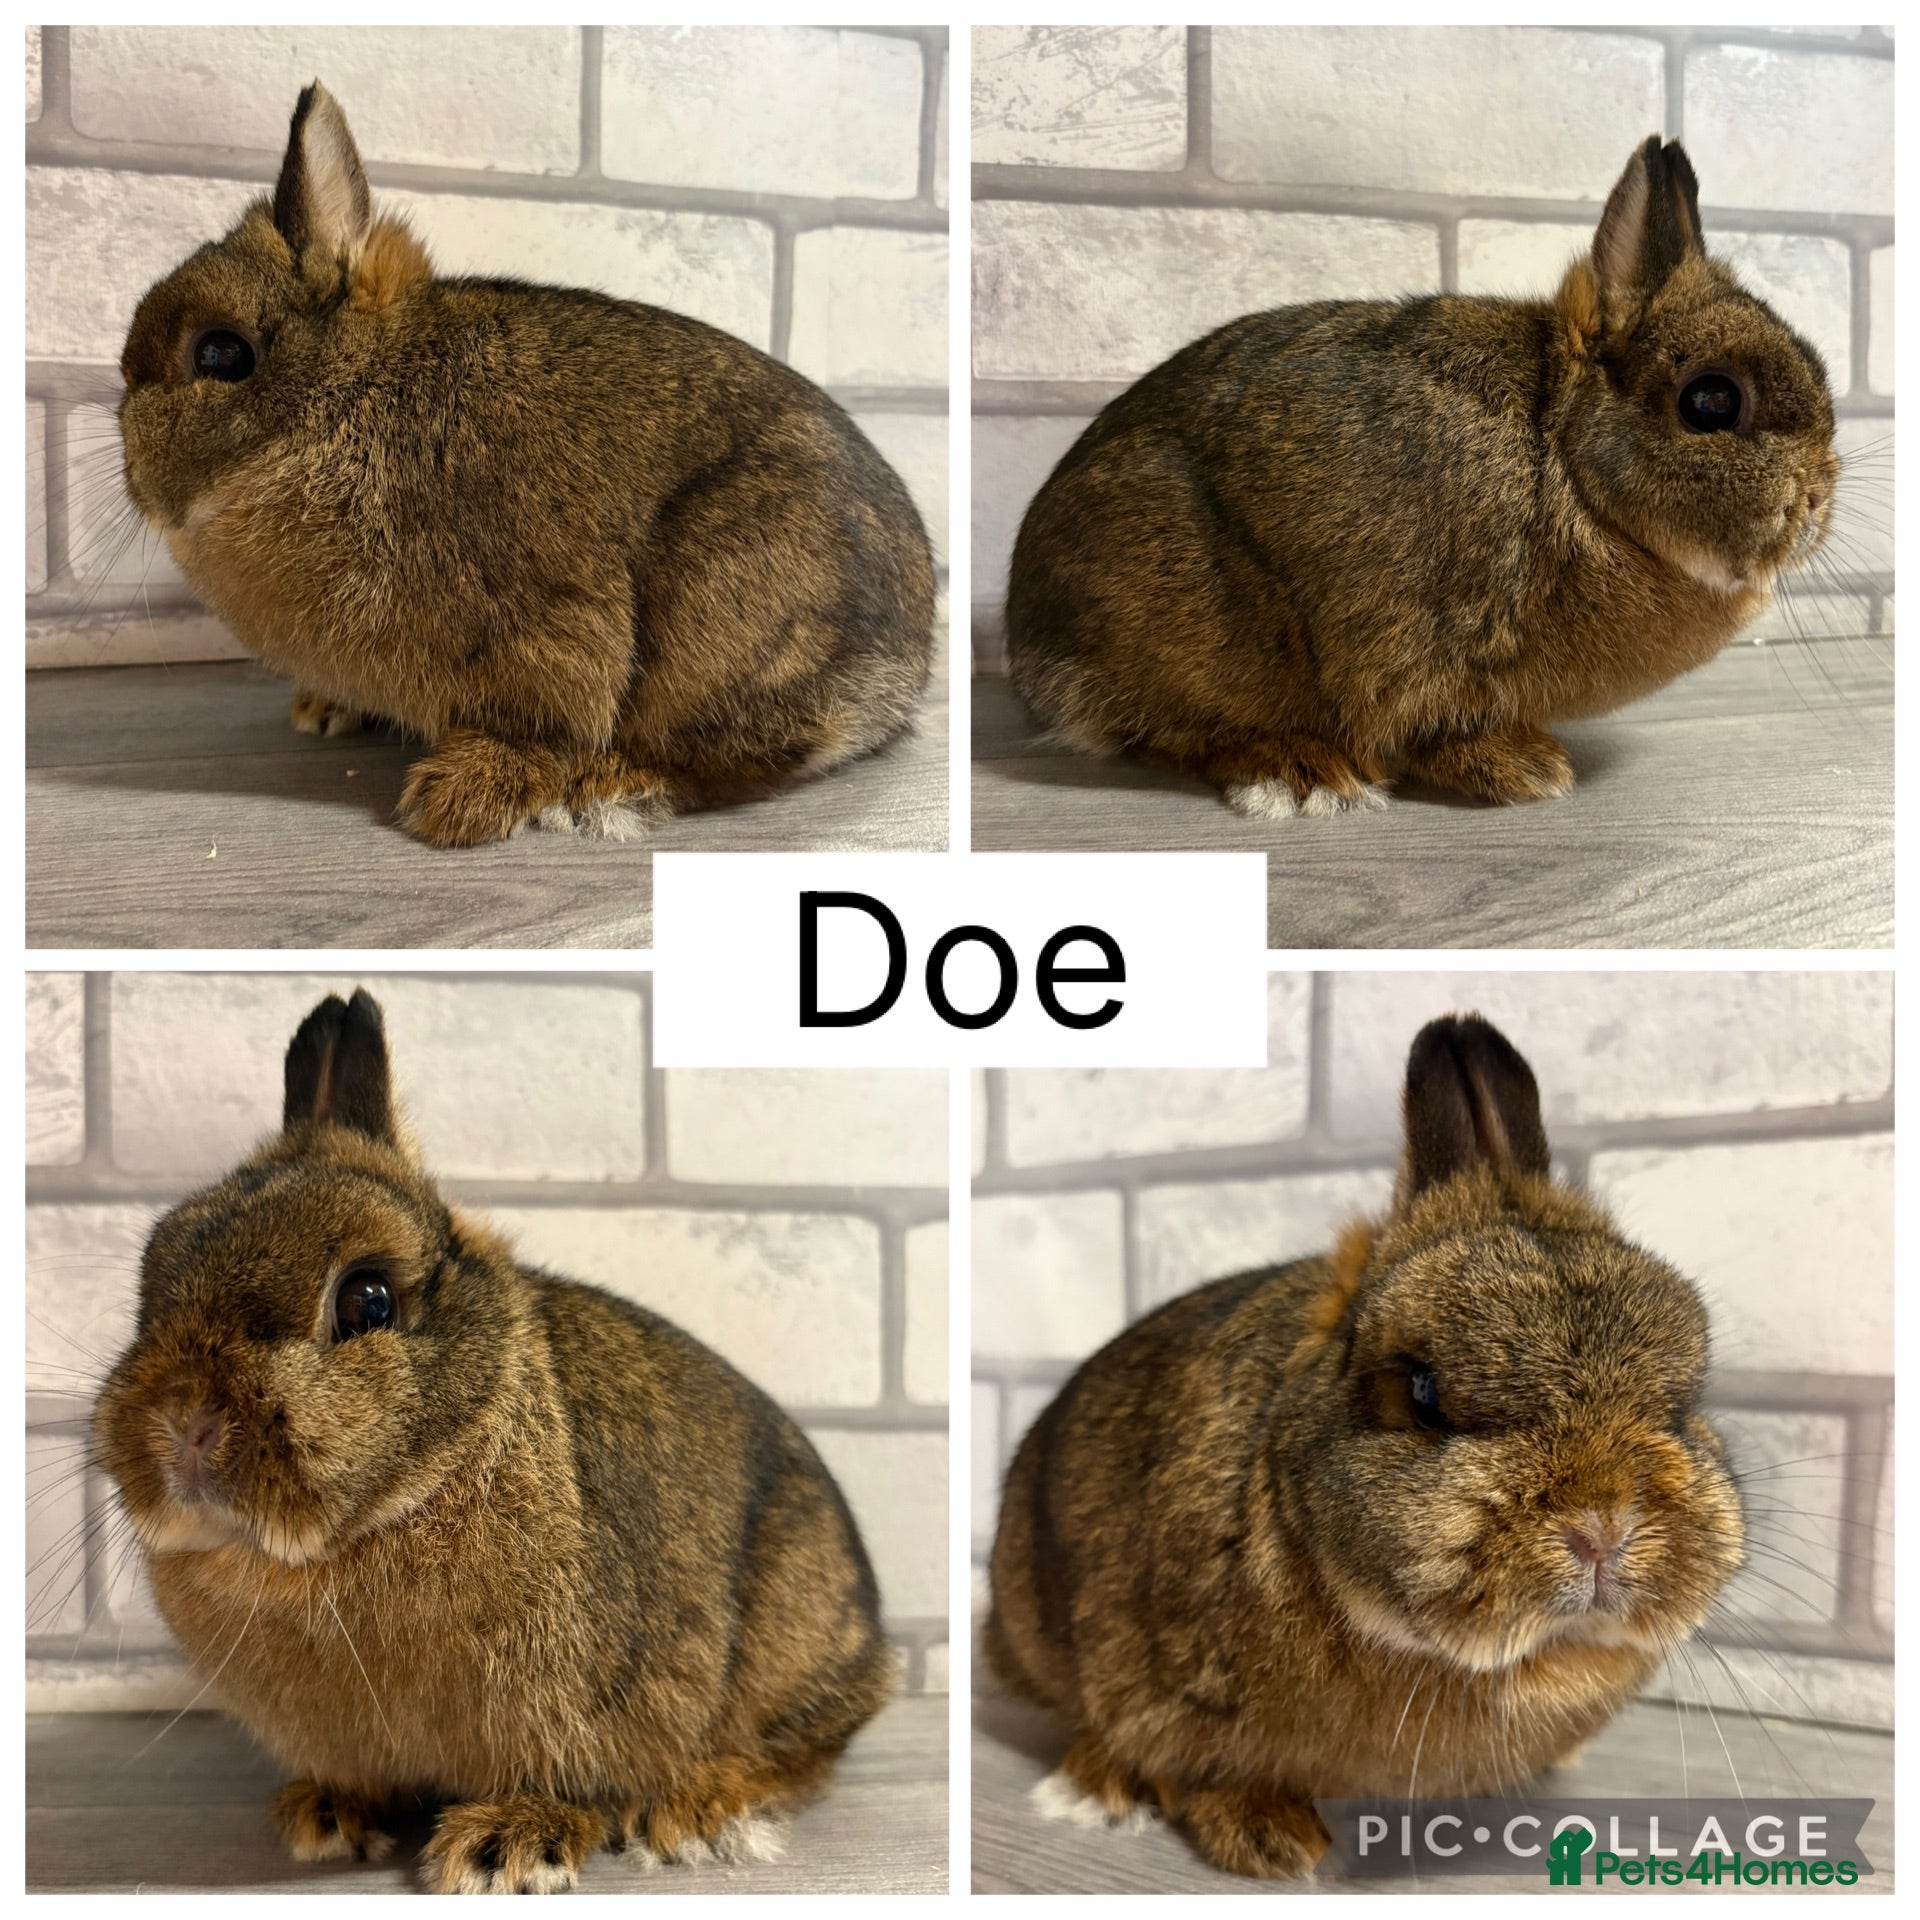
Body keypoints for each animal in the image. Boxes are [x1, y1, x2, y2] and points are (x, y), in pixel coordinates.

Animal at [91, 989, 894, 1893]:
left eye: (367, 1300)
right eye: (152, 1279)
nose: (181, 1424)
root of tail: (876, 1656)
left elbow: (571, 1782)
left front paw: (503, 1847)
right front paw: (328, 1815)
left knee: (796, 1755)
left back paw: (693, 1811)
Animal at [116, 83, 935, 847]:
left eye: (221, 354)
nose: (136, 481)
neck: (349, 402)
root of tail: (902, 673)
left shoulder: (548, 633)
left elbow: (542, 723)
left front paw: (454, 802)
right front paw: (325, 715)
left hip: (727, 616)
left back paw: (609, 789)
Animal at [986, 1013, 1744, 1880]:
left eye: (1684, 1405)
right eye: (1422, 1392)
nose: (1603, 1529)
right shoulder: (1161, 1690)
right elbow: (1190, 1767)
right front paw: (1274, 1845)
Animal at [1004, 137, 1839, 817]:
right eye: (1711, 400)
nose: (1816, 503)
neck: (1562, 461)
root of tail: (1029, 652)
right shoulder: (1429, 649)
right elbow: (1432, 727)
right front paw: (1527, 770)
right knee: (1172, 732)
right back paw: (1301, 774)